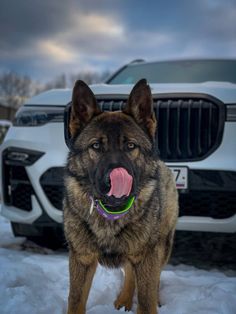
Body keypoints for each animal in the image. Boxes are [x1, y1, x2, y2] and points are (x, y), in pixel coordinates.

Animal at [63, 79, 178, 314]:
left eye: (131, 146)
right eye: (96, 145)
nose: (115, 180)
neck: (110, 214)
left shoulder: (147, 257)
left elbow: (146, 300)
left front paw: (149, 302)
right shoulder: (82, 259)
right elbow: (75, 301)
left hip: (162, 246)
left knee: (154, 279)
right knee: (131, 274)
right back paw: (124, 300)